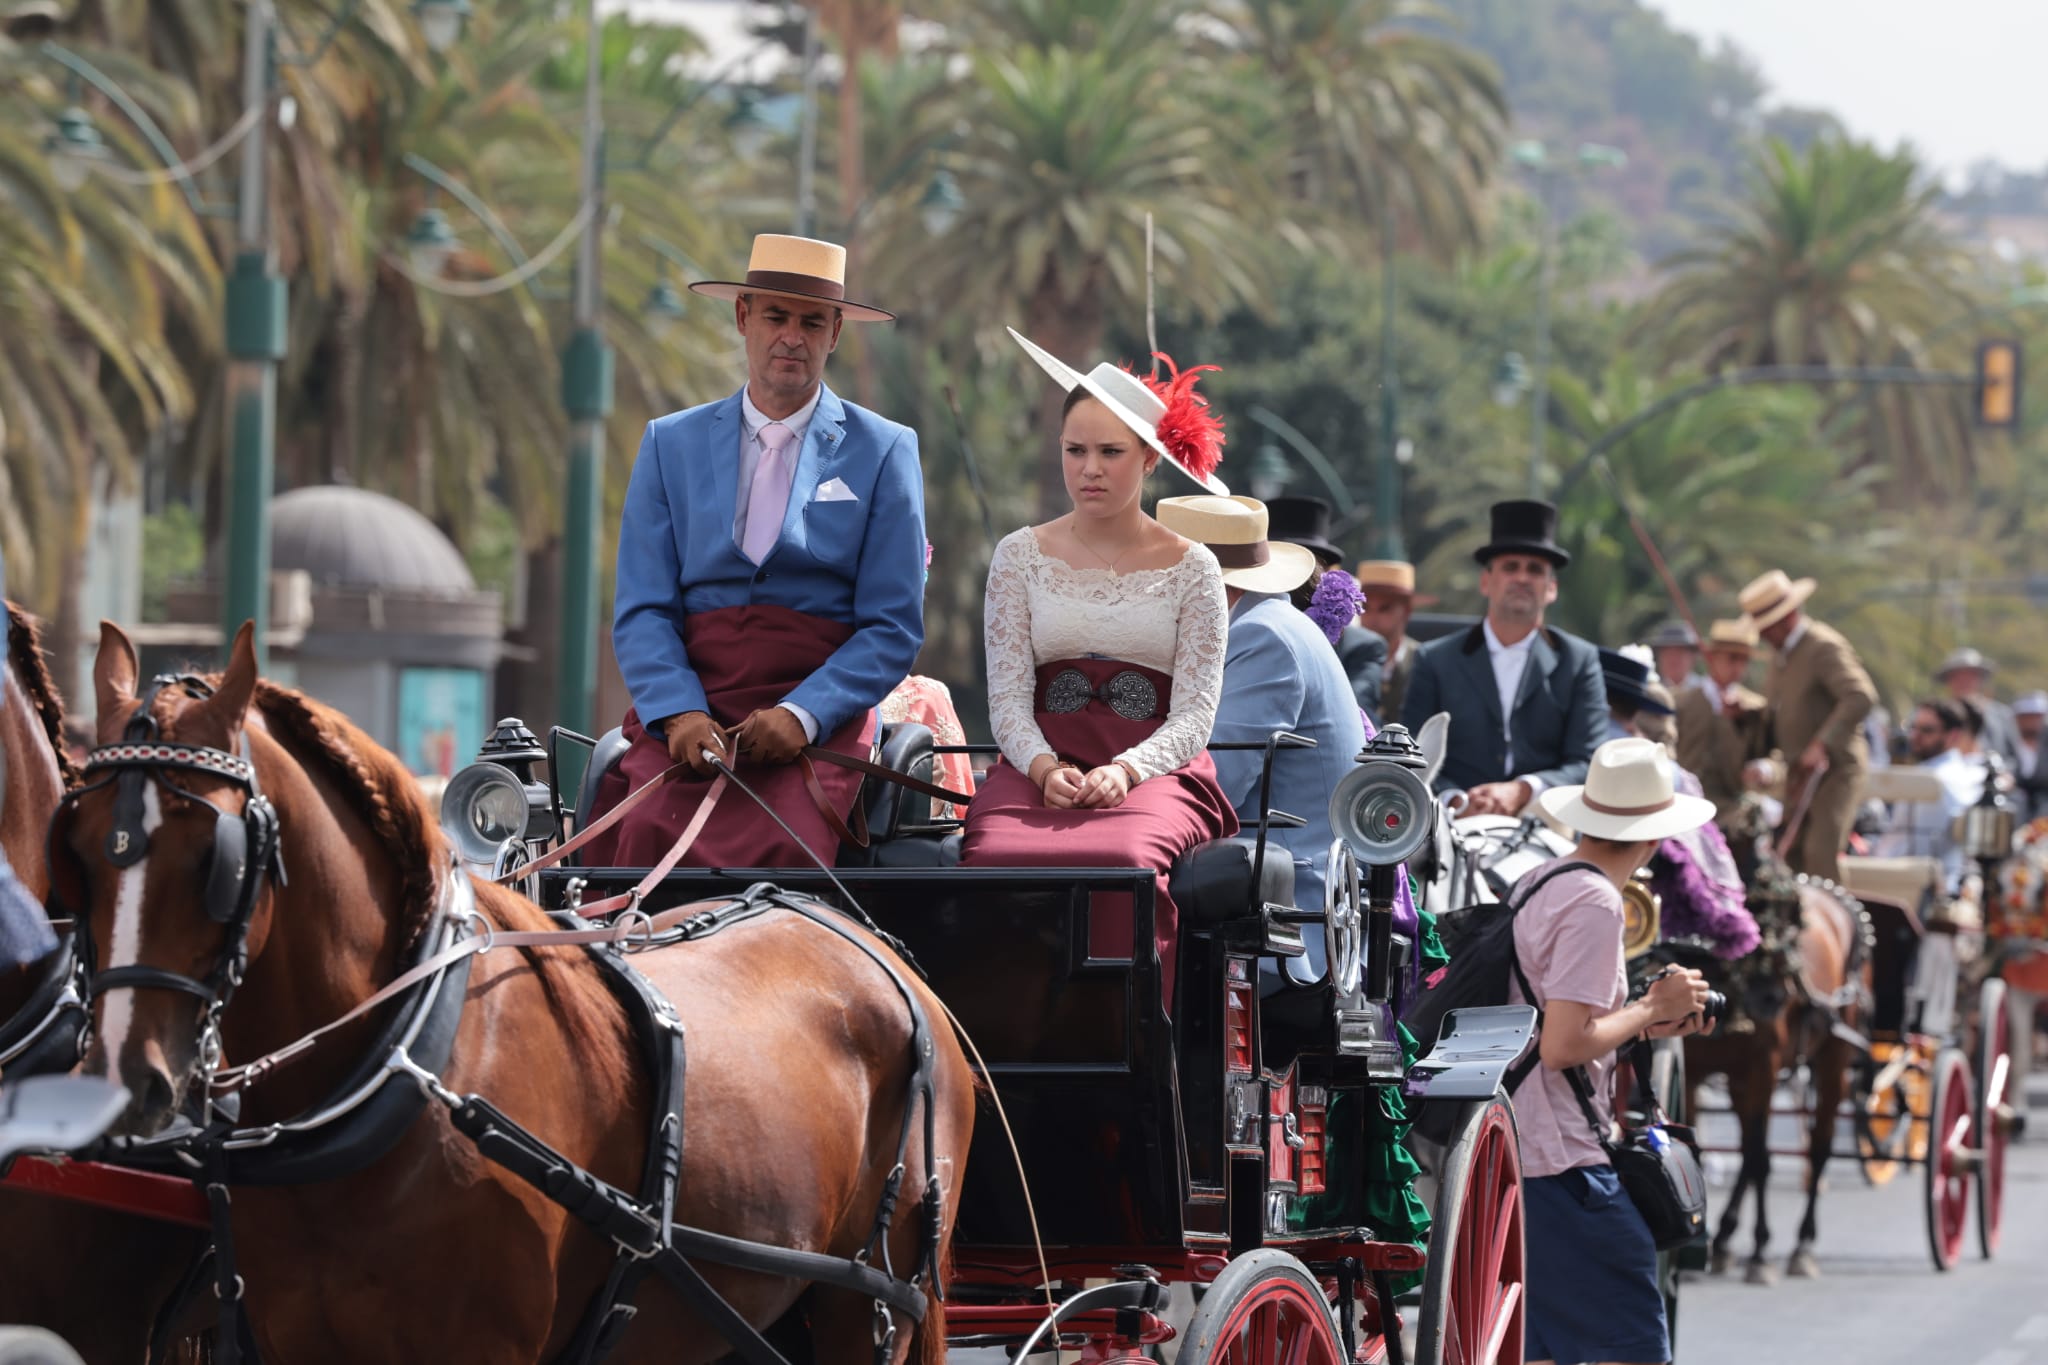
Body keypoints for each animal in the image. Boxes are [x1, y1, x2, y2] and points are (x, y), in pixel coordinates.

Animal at [64, 622, 974, 1365]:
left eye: (217, 857)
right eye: (76, 844)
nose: (120, 1079)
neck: (409, 1058)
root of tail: (867, 940)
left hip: (872, 1302)